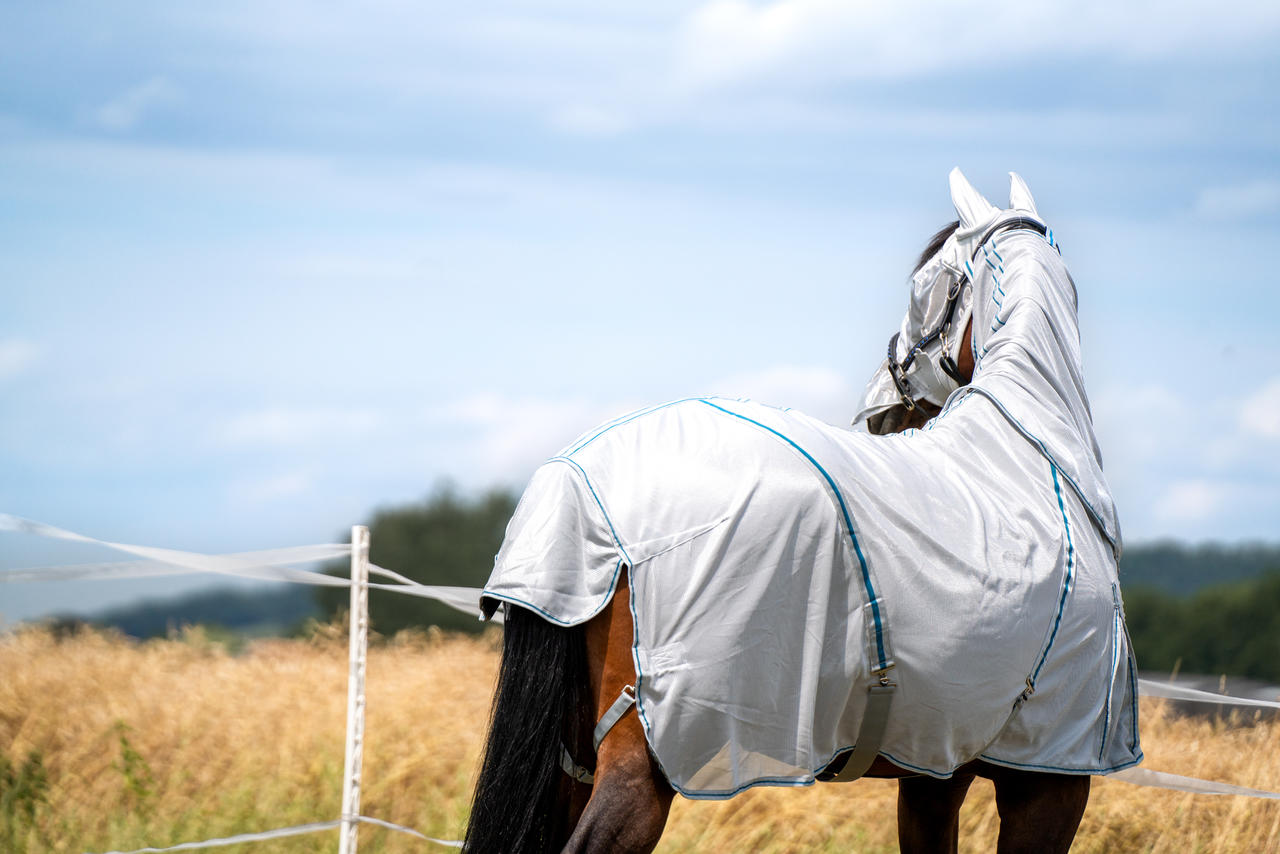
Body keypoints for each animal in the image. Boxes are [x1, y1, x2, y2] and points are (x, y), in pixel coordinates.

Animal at [463, 170, 1141, 850]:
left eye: (920, 286)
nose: (881, 404)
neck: (1032, 451)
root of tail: (577, 482)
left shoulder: (937, 771)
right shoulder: (1047, 783)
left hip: (572, 761)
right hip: (646, 763)